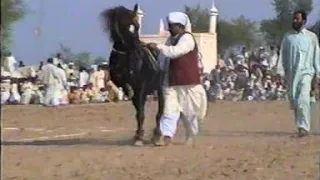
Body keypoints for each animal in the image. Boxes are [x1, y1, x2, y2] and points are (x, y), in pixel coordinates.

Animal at [100, 4, 165, 146]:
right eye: (128, 17)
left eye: (134, 17)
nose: (137, 24)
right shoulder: (121, 81)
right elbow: (128, 90)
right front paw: (138, 135)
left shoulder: (141, 86)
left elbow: (140, 112)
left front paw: (139, 137)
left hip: (161, 88)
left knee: (160, 111)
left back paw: (157, 134)